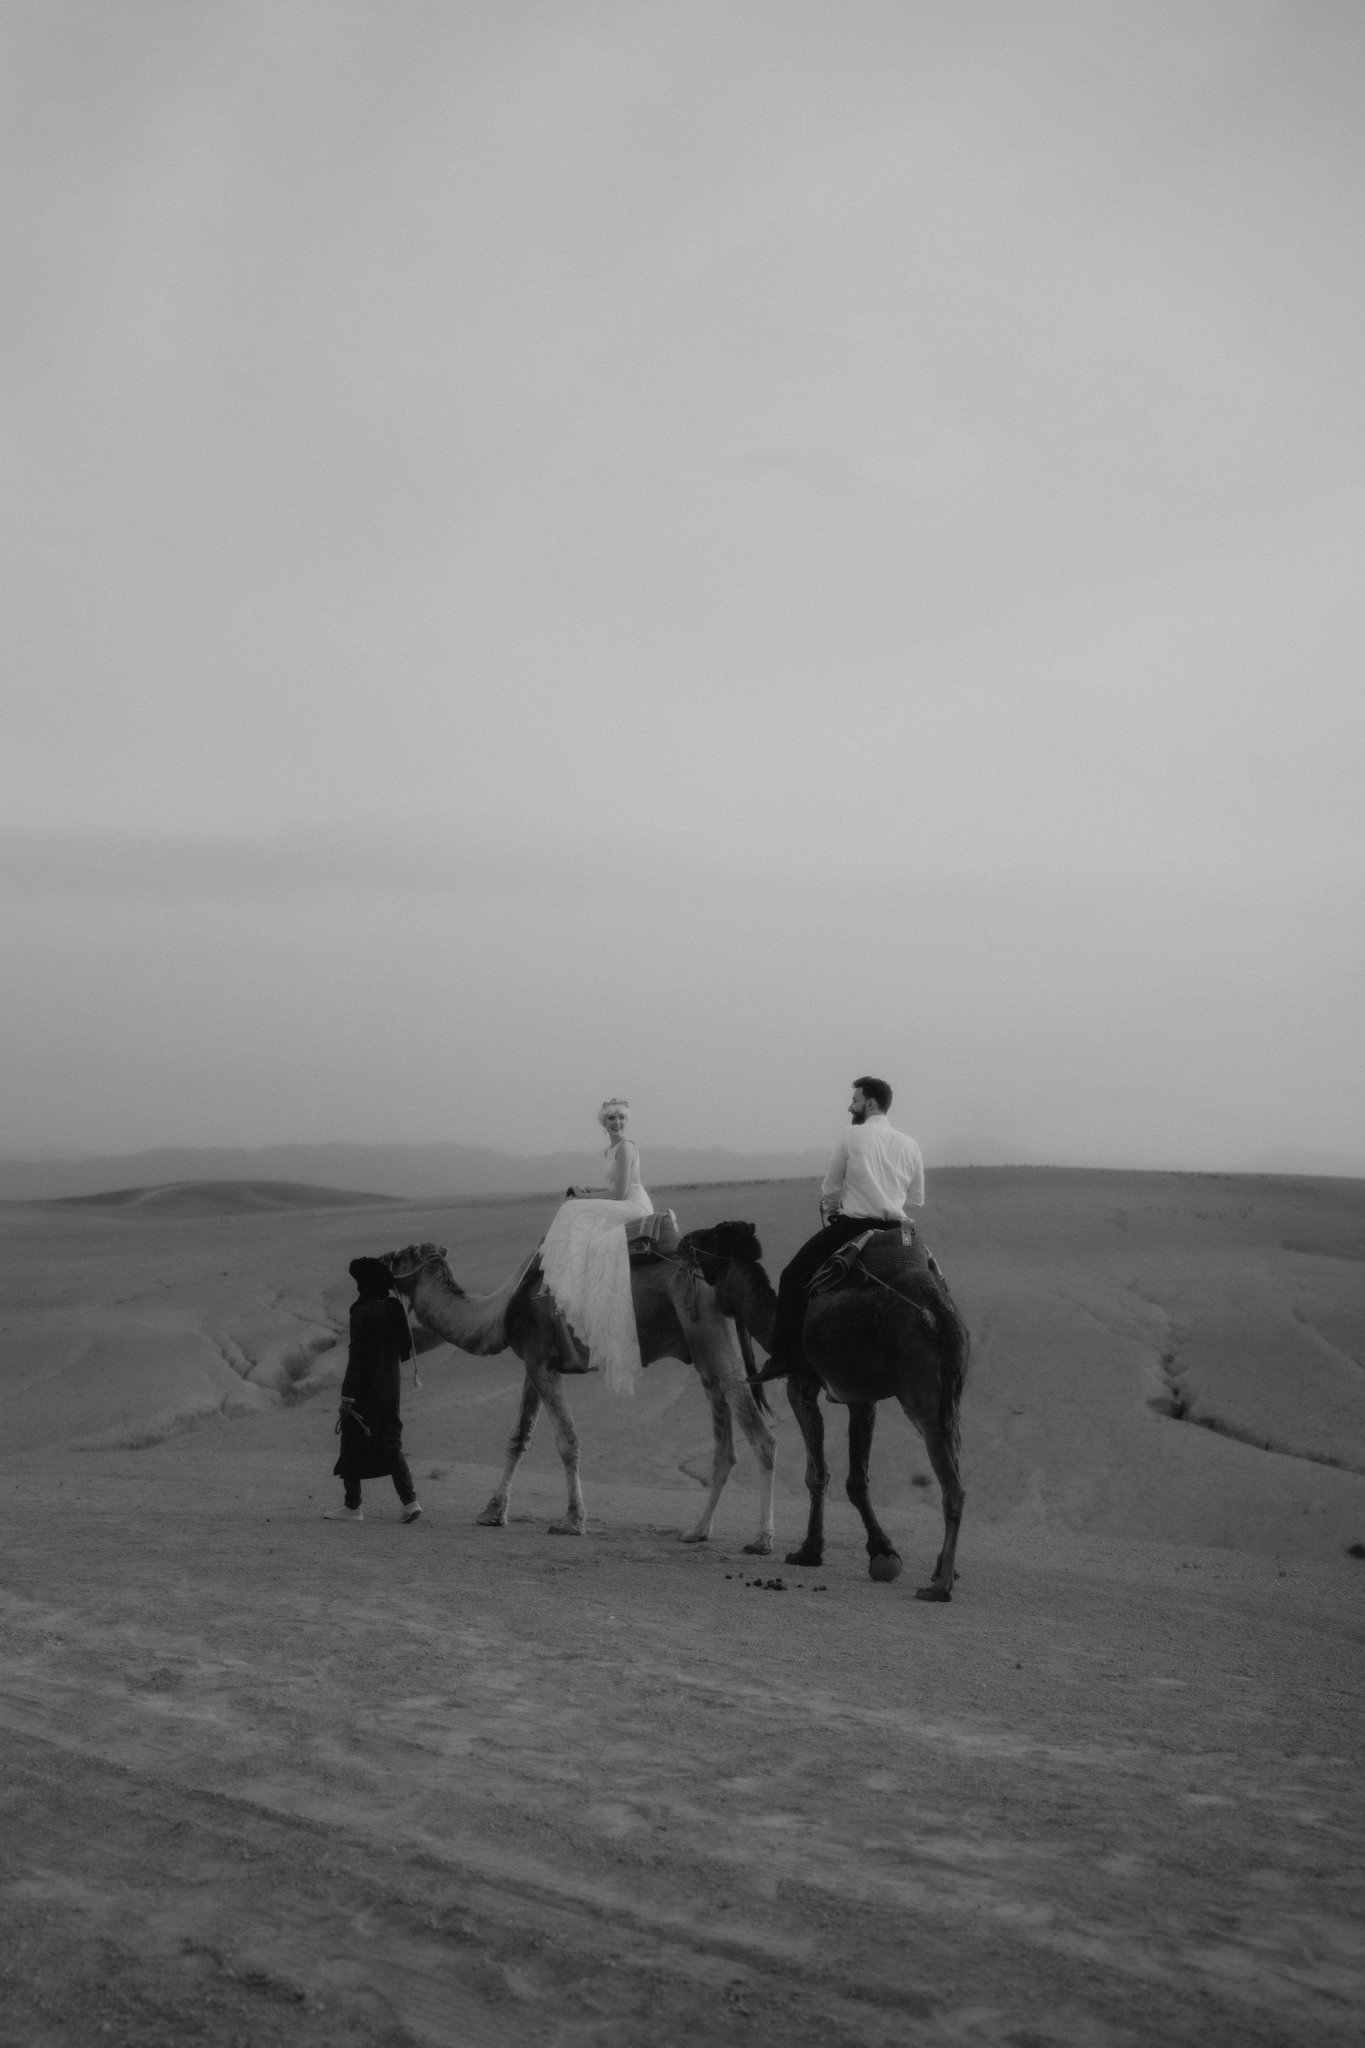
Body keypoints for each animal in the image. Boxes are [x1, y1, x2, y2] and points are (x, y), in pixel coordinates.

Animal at [378, 1228, 777, 1548]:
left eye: (400, 1256)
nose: (377, 1260)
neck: (500, 1309)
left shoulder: (541, 1359)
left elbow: (567, 1442)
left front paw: (572, 1521)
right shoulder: (536, 1362)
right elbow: (518, 1438)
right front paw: (491, 1513)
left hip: (708, 1330)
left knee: (761, 1434)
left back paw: (761, 1540)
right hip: (703, 1350)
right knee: (725, 1443)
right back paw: (697, 1531)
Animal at [687, 1212, 965, 1597]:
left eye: (712, 1235)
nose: (684, 1241)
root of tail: (936, 1313)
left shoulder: (801, 1384)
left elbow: (816, 1475)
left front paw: (810, 1551)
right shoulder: (862, 1398)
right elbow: (857, 1479)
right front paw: (881, 1550)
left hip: (920, 1397)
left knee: (953, 1489)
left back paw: (939, 1586)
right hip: (947, 1399)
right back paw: (944, 1570)